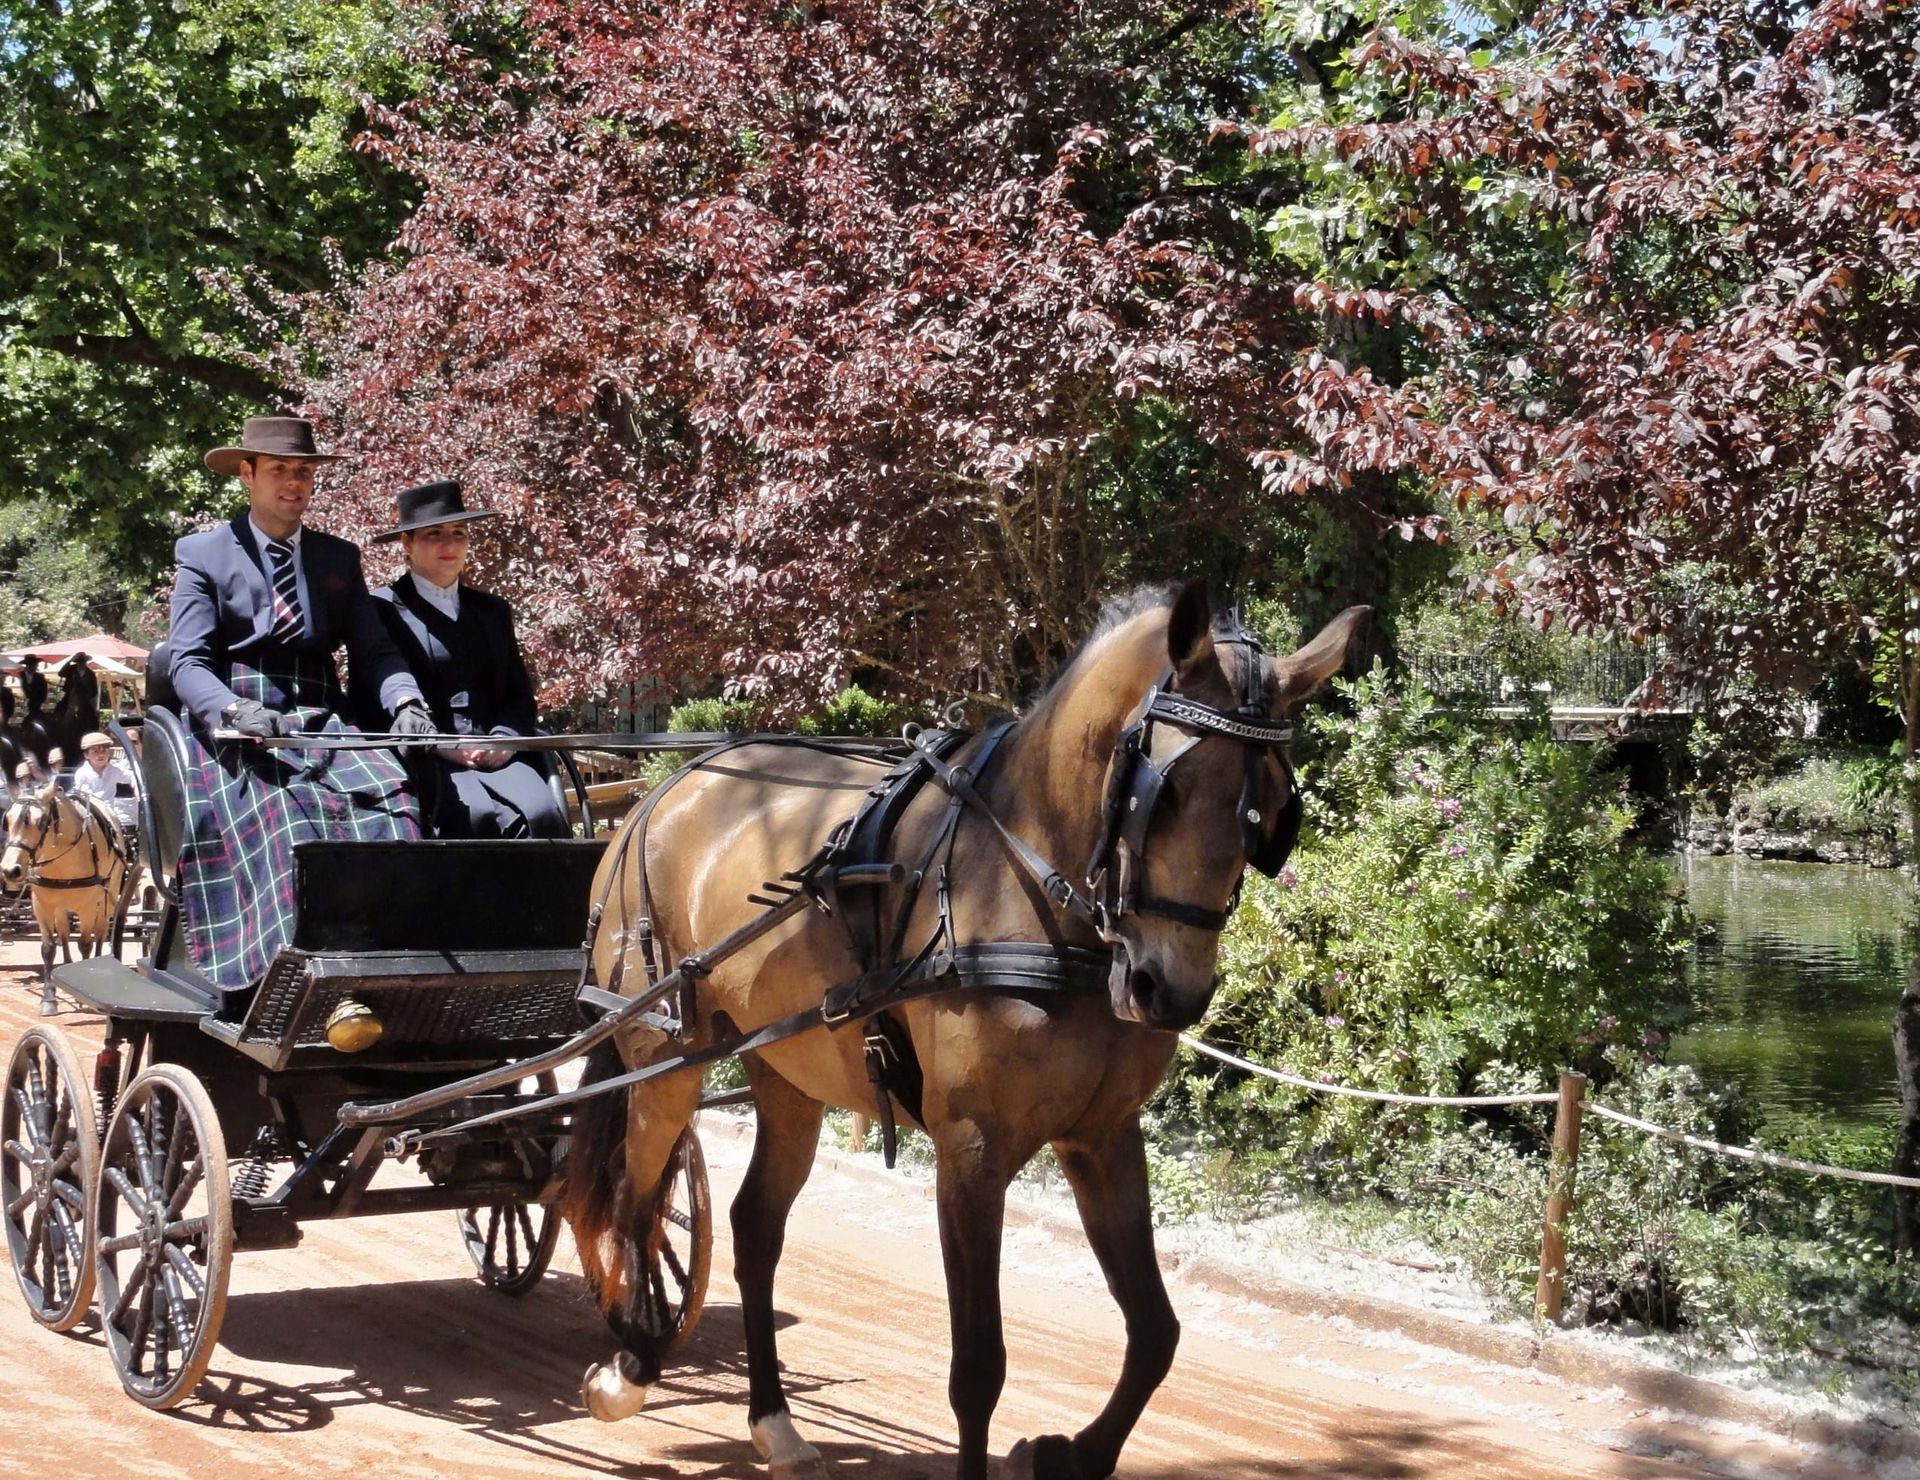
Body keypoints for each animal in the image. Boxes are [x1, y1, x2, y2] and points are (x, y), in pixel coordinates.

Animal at [0, 783, 130, 1013]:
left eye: (41, 821)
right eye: (8, 820)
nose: (10, 870)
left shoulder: (88, 906)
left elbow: (86, 944)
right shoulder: (41, 905)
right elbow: (48, 948)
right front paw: (48, 998)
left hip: (109, 895)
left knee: (100, 932)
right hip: (60, 905)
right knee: (64, 933)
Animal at [560, 587, 1374, 1480]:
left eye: (1273, 808)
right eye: (1164, 794)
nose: (1172, 990)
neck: (1034, 885)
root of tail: (661, 791)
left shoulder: (1102, 1135)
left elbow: (1156, 1331)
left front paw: (1069, 1452)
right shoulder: (972, 1151)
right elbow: (980, 1366)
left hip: (788, 1072)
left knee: (754, 1227)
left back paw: (773, 1421)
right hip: (663, 1059)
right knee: (636, 1202)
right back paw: (632, 1368)